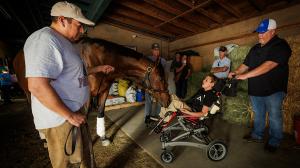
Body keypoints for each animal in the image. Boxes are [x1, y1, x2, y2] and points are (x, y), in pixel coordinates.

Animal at [12, 37, 170, 145]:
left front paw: (103, 138)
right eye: (161, 78)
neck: (99, 59)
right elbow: (84, 117)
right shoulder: (86, 96)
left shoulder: (103, 91)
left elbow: (100, 113)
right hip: (30, 93)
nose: (168, 100)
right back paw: (44, 139)